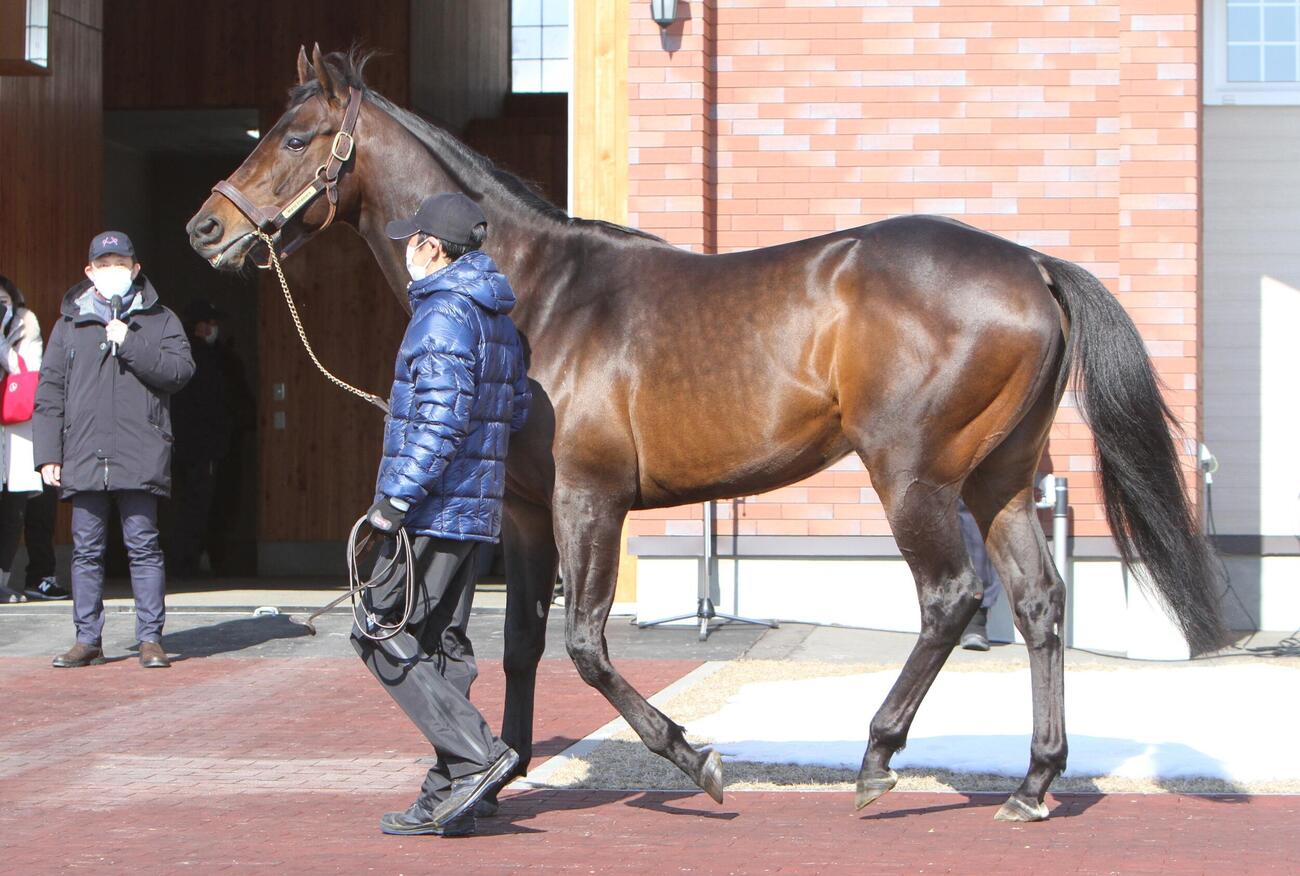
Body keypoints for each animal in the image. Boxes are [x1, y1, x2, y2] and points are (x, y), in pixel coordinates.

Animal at [186, 47, 1226, 822]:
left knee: (951, 598)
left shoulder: (590, 500)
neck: (536, 293)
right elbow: (521, 644)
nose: (204, 230)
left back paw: (877, 758)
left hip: (915, 477)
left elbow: (588, 646)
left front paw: (695, 760)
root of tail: (1033, 265)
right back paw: (1034, 781)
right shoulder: (523, 513)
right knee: (1042, 605)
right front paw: (499, 772)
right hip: (998, 481)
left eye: (296, 136)